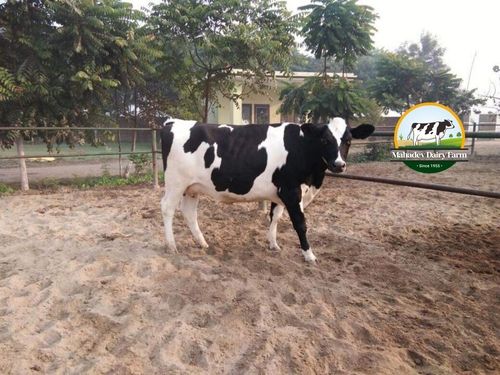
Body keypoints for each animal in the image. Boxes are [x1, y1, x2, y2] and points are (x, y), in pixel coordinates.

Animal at [160, 119, 376, 262]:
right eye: (325, 140)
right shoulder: (292, 191)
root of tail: (174, 122)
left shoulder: (280, 191)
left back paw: (202, 243)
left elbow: (275, 216)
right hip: (175, 183)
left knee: (189, 212)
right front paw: (309, 254)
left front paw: (273, 244)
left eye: (348, 141)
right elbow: (300, 223)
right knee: (167, 208)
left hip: (192, 188)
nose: (339, 164)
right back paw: (171, 246)